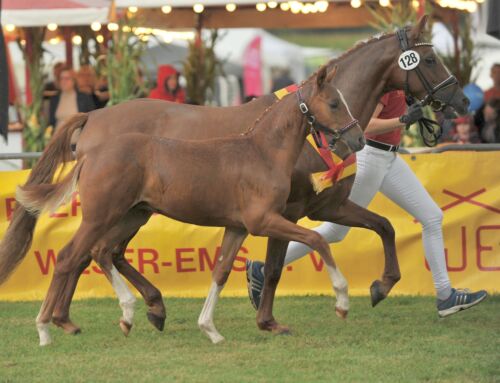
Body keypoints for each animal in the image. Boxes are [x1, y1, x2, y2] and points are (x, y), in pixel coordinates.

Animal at [18, 65, 364, 344]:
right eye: (334, 103)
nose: (359, 139)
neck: (262, 153)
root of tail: (89, 154)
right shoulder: (264, 220)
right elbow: (317, 239)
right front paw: (342, 302)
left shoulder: (237, 227)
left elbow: (221, 271)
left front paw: (210, 329)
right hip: (100, 216)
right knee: (68, 257)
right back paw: (46, 329)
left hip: (132, 215)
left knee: (101, 252)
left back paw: (130, 314)